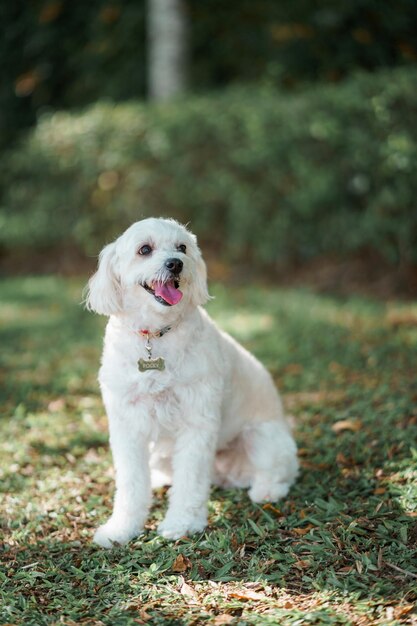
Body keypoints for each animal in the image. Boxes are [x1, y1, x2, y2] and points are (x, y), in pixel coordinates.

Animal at [86, 218, 298, 544]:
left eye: (182, 247)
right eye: (144, 249)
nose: (176, 264)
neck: (156, 334)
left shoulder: (197, 420)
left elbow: (190, 479)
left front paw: (182, 524)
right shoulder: (126, 424)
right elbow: (131, 483)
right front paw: (121, 528)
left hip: (262, 437)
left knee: (281, 471)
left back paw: (267, 491)